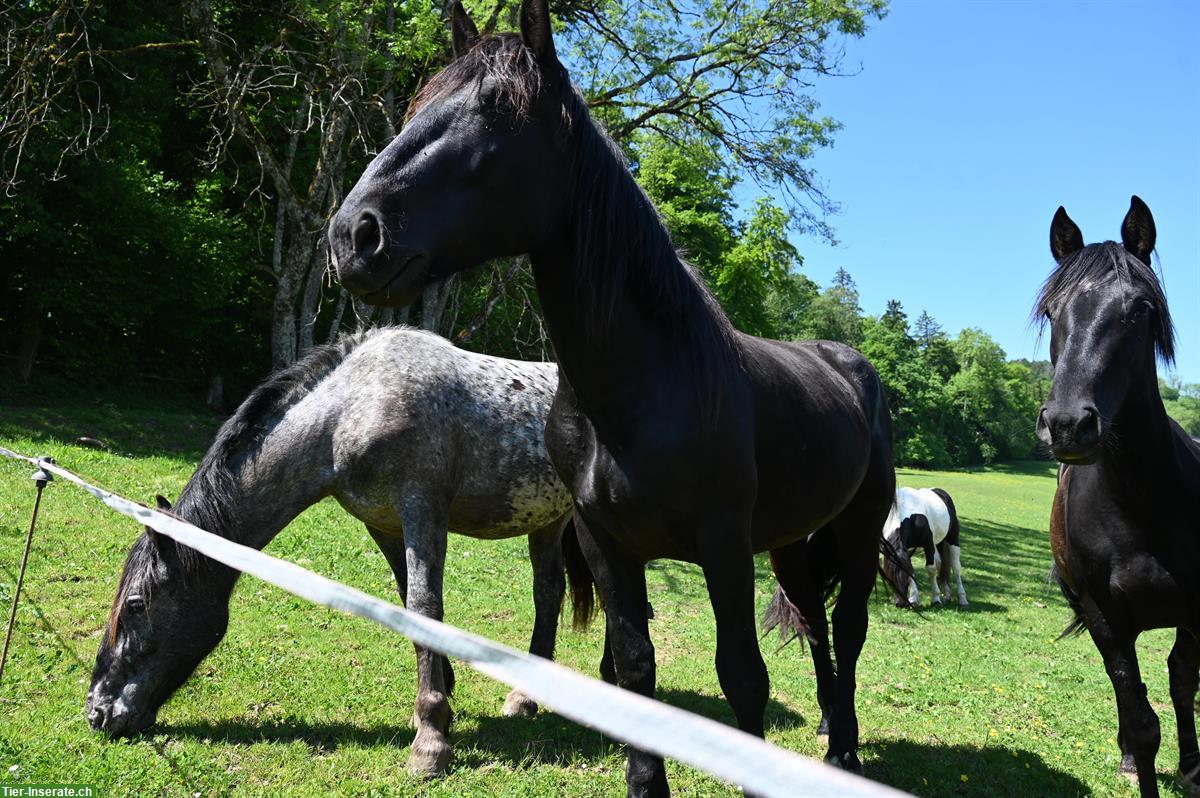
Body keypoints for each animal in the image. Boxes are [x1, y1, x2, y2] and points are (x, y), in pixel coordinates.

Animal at [83, 321, 590, 772]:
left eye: (135, 605)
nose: (97, 712)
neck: (353, 408)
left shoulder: (421, 507)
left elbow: (425, 606)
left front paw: (430, 740)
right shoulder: (383, 523)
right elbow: (410, 605)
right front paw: (439, 705)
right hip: (547, 522)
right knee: (549, 595)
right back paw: (526, 698)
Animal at [326, 4, 902, 792]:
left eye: (497, 109)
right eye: (417, 105)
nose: (353, 235)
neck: (643, 390)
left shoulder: (724, 544)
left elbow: (742, 677)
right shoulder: (607, 543)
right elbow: (634, 670)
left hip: (855, 526)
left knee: (848, 628)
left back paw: (843, 746)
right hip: (790, 539)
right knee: (815, 623)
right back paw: (826, 731)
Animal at [1036, 194, 1195, 796]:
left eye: (1138, 309)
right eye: (1052, 312)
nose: (1066, 424)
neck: (1140, 502)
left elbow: (1181, 685)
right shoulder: (1107, 620)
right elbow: (1143, 723)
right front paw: (1136, 755)